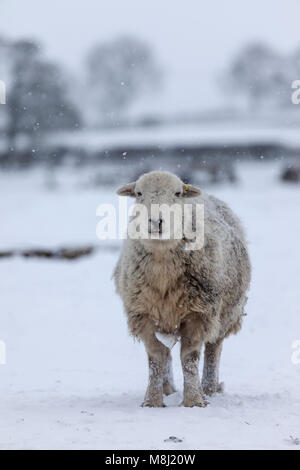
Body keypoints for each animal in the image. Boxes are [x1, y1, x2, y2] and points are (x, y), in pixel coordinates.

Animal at [113, 171, 250, 406]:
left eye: (177, 193)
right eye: (139, 193)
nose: (156, 221)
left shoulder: (199, 314)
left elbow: (189, 359)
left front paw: (194, 401)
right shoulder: (144, 314)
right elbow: (156, 359)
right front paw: (152, 401)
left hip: (226, 313)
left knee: (213, 348)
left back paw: (209, 389)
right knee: (167, 353)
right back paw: (168, 389)